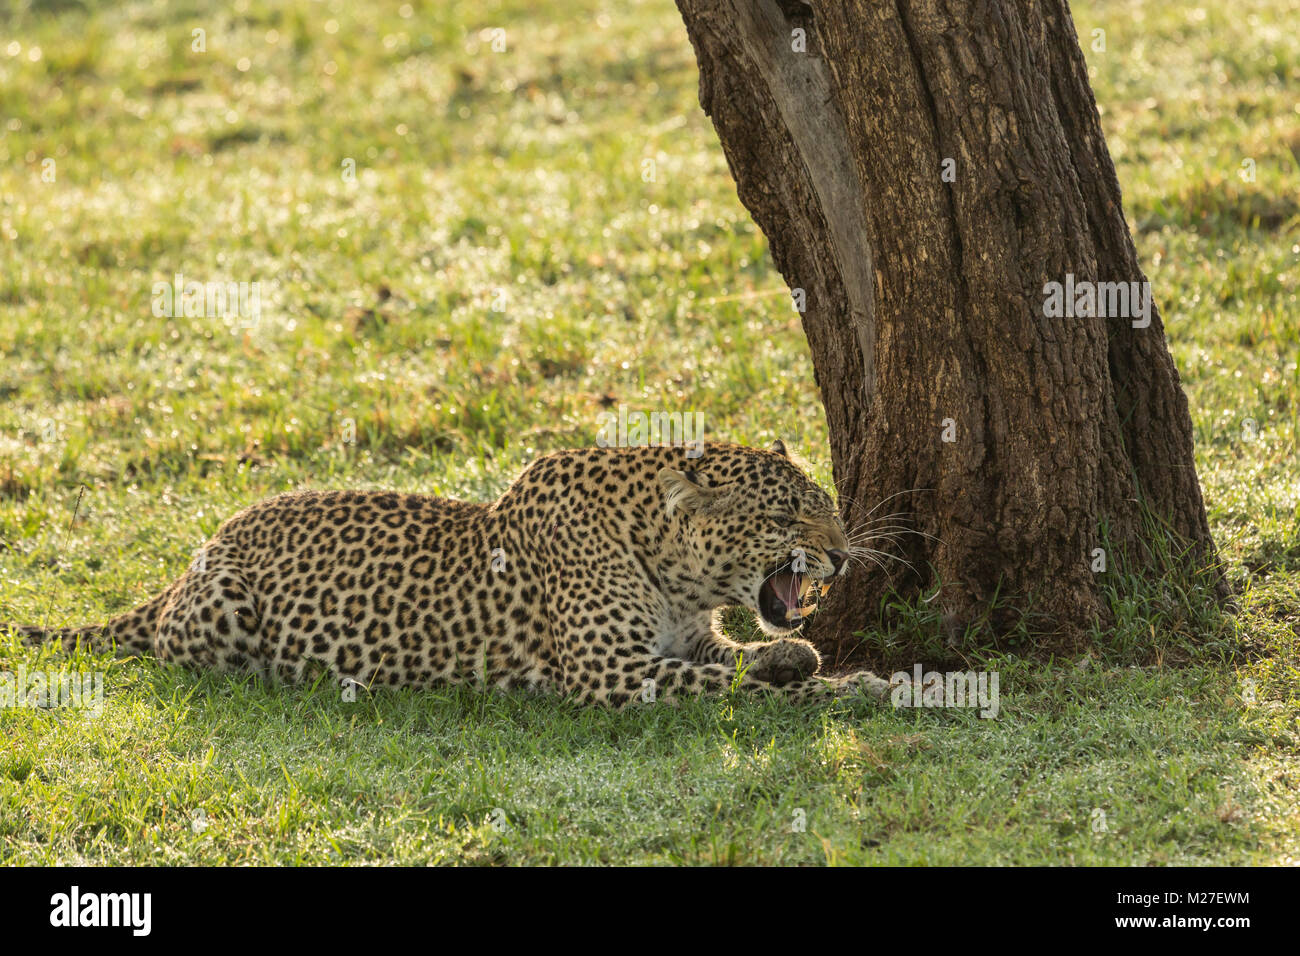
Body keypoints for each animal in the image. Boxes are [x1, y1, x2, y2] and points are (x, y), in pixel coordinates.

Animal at [8, 440, 891, 707]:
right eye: (788, 519)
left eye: (828, 508)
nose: (843, 554)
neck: (676, 572)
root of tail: (202, 546)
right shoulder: (608, 675)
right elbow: (737, 685)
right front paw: (847, 687)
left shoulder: (684, 641)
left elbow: (741, 656)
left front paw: (812, 661)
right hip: (222, 612)